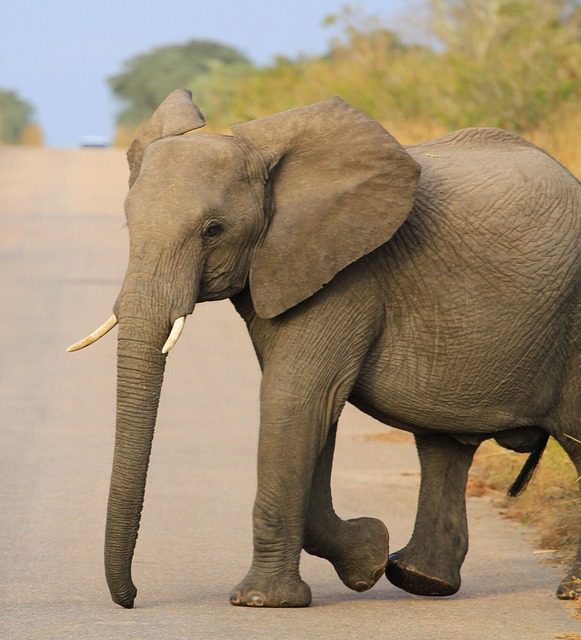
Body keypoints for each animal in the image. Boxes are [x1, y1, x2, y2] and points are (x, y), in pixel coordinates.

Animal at [68, 89, 581, 608]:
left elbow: (295, 399)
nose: (131, 599)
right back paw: (422, 579)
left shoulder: (347, 273)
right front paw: (369, 557)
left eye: (213, 230)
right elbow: (312, 409)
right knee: (443, 443)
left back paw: (568, 590)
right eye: (128, 224)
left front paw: (261, 601)